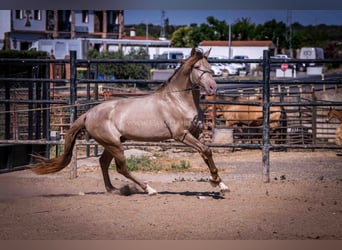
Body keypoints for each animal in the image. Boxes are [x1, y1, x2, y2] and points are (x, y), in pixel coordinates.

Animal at [29, 47, 230, 195]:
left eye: (210, 67)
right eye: (197, 68)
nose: (212, 87)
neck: (178, 101)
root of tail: (88, 114)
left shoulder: (196, 133)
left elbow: (206, 153)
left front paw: (220, 184)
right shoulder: (181, 135)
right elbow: (206, 151)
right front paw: (216, 182)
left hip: (113, 144)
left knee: (103, 162)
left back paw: (114, 189)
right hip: (114, 145)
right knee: (121, 168)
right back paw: (148, 189)